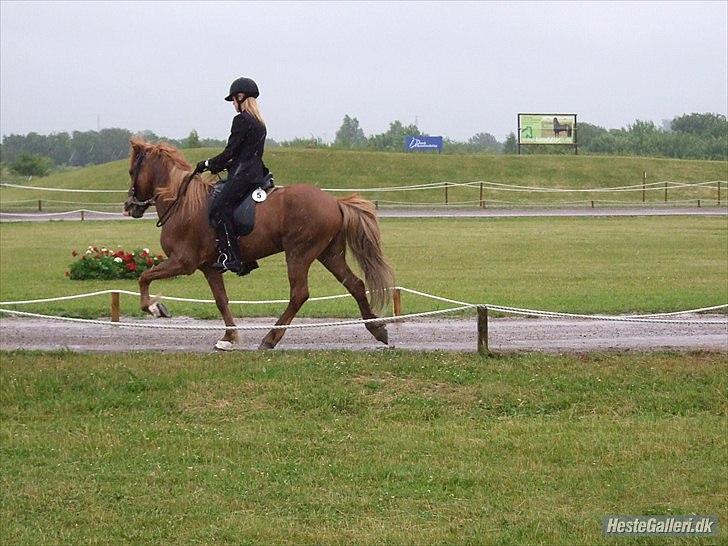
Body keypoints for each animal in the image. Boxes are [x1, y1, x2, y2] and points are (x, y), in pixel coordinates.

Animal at [121, 136, 392, 348]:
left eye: (132, 171)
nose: (129, 207)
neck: (182, 202)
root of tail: (334, 201)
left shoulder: (182, 262)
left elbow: (144, 277)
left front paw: (154, 308)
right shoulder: (209, 267)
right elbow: (221, 301)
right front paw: (228, 338)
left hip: (299, 253)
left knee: (299, 294)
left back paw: (271, 338)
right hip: (329, 254)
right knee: (355, 284)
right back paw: (377, 329)